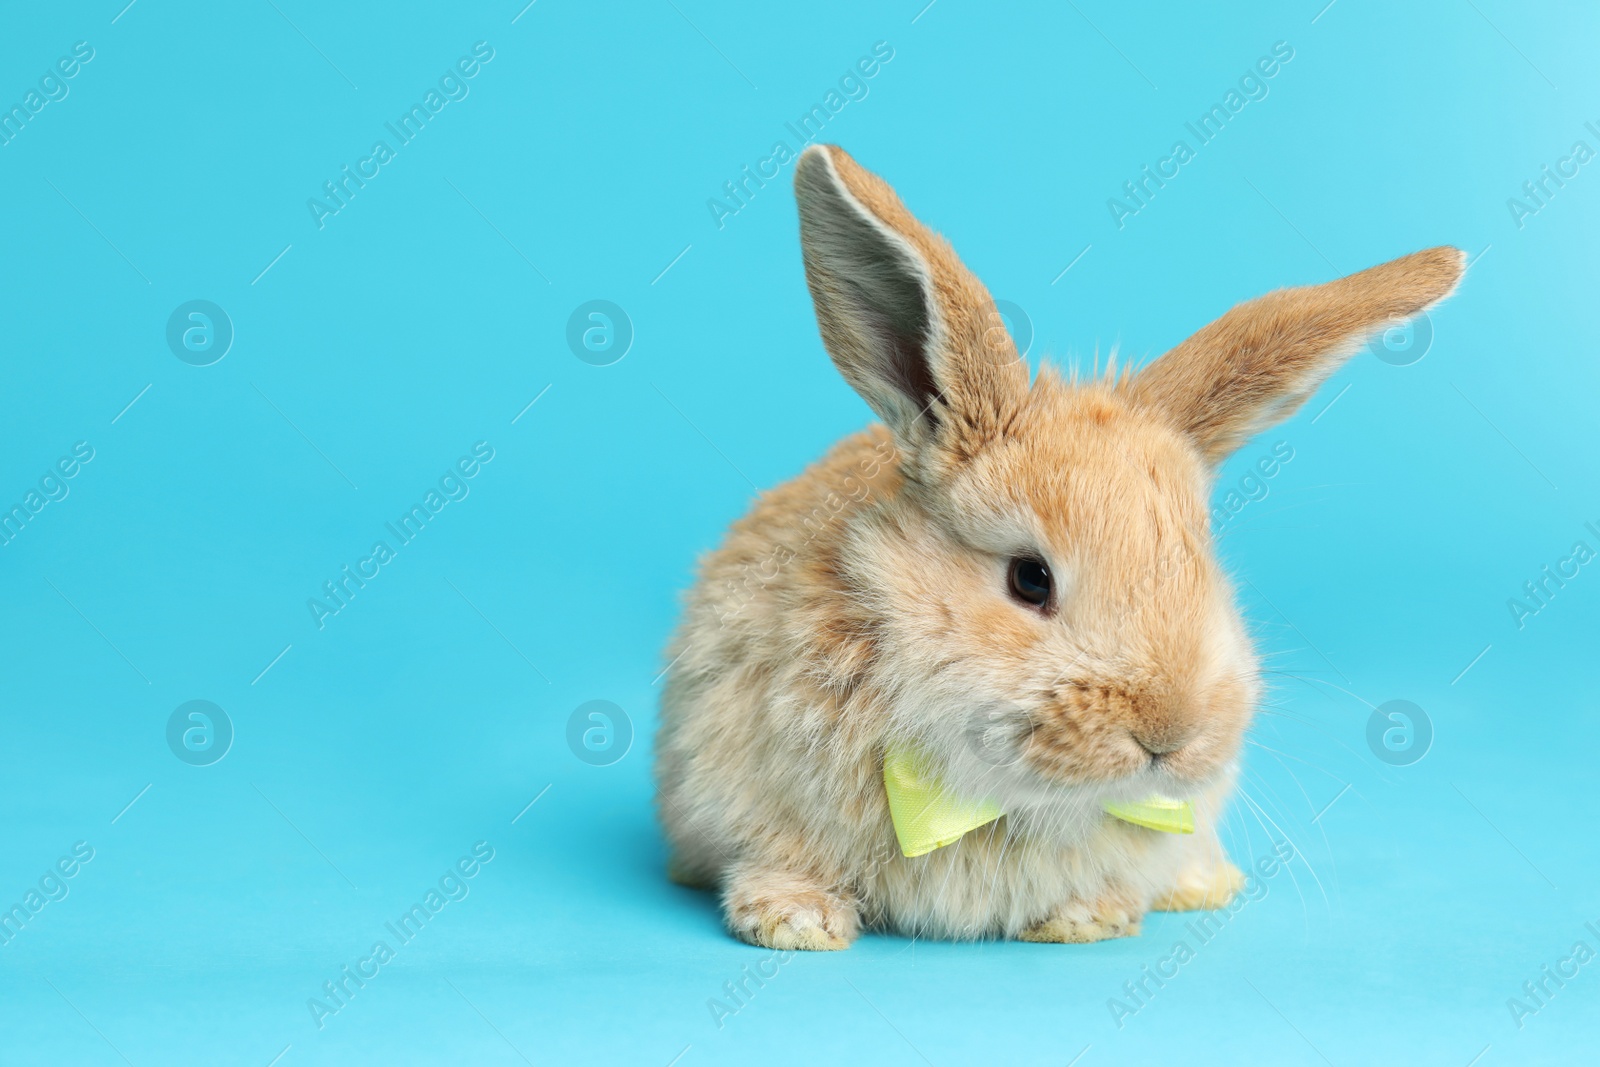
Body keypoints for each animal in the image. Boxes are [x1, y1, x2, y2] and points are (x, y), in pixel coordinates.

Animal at [652, 143, 1465, 953]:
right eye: (1030, 579)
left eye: (1202, 565)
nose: (1171, 733)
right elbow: (782, 856)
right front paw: (795, 922)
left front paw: (1089, 918)